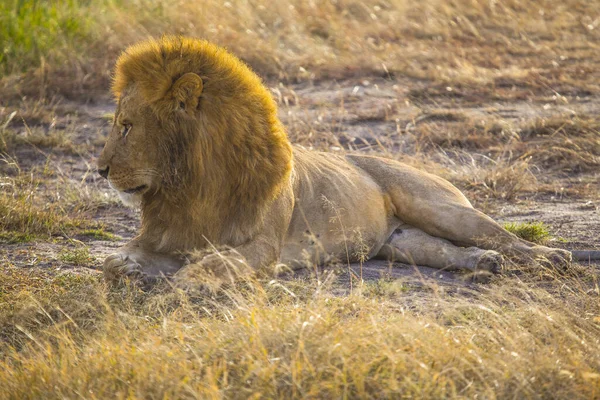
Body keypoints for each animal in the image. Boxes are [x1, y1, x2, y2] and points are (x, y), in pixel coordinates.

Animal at [97, 36, 576, 284]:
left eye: (126, 126)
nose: (100, 170)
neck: (188, 184)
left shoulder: (263, 246)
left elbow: (216, 263)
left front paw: (188, 279)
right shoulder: (167, 235)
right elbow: (114, 259)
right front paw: (131, 269)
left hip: (441, 208)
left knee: (503, 236)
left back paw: (548, 257)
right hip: (401, 241)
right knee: (442, 250)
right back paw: (483, 264)